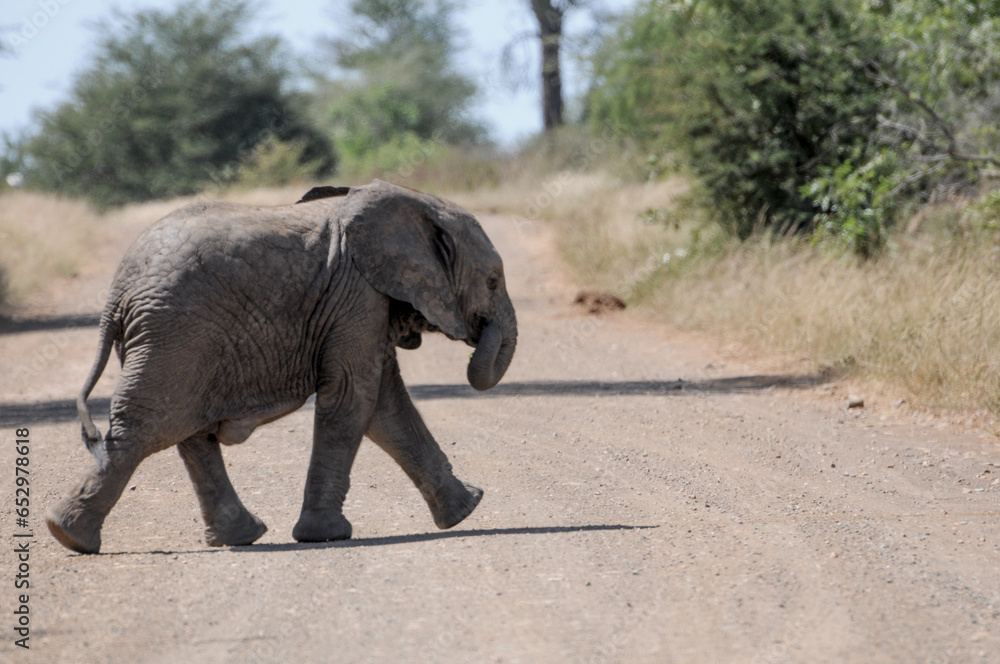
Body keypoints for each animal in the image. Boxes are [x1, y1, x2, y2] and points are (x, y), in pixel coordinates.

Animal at [46, 180, 517, 554]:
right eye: (493, 282)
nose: (480, 336)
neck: (415, 203)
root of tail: (117, 292)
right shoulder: (357, 295)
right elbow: (353, 395)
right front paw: (326, 536)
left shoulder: (362, 301)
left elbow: (385, 404)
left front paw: (467, 509)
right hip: (176, 332)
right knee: (148, 425)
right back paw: (71, 537)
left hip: (169, 338)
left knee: (187, 432)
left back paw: (235, 537)